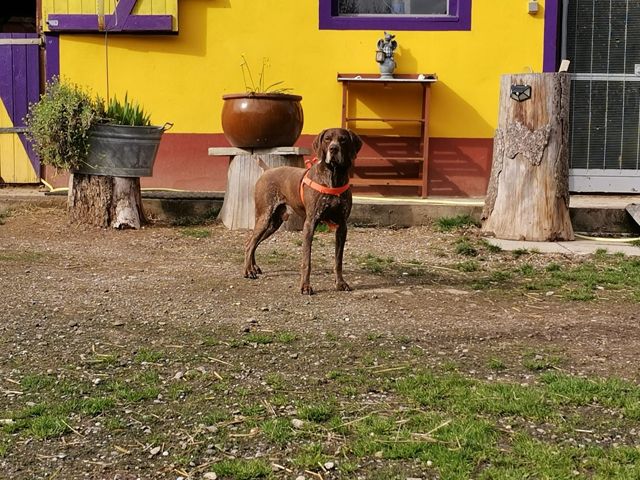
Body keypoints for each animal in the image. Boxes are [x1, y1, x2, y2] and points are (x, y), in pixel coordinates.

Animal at [244, 127, 362, 294]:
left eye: (343, 139)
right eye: (327, 139)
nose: (333, 149)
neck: (334, 176)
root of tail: (267, 171)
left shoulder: (342, 226)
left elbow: (338, 261)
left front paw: (340, 283)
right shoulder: (310, 224)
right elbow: (307, 261)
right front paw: (305, 286)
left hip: (273, 223)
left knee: (253, 242)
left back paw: (253, 267)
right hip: (264, 217)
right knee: (250, 243)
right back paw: (248, 270)